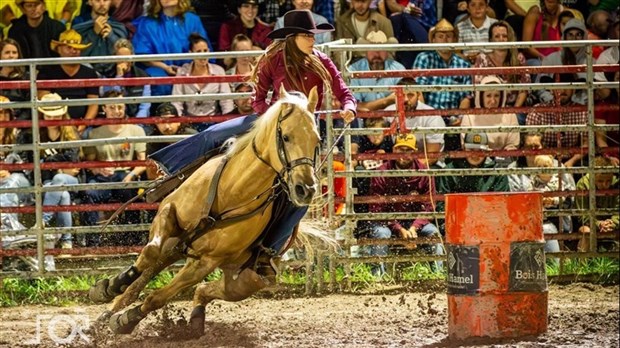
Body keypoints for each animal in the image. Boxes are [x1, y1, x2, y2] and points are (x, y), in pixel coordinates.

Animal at [89, 86, 322, 334]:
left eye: (316, 140)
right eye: (286, 137)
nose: (306, 189)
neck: (233, 192)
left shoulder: (206, 262)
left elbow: (157, 298)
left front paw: (126, 320)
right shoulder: (168, 212)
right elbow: (150, 252)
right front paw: (109, 287)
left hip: (243, 282)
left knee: (203, 290)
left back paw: (194, 321)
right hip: (177, 246)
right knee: (143, 277)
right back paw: (104, 312)